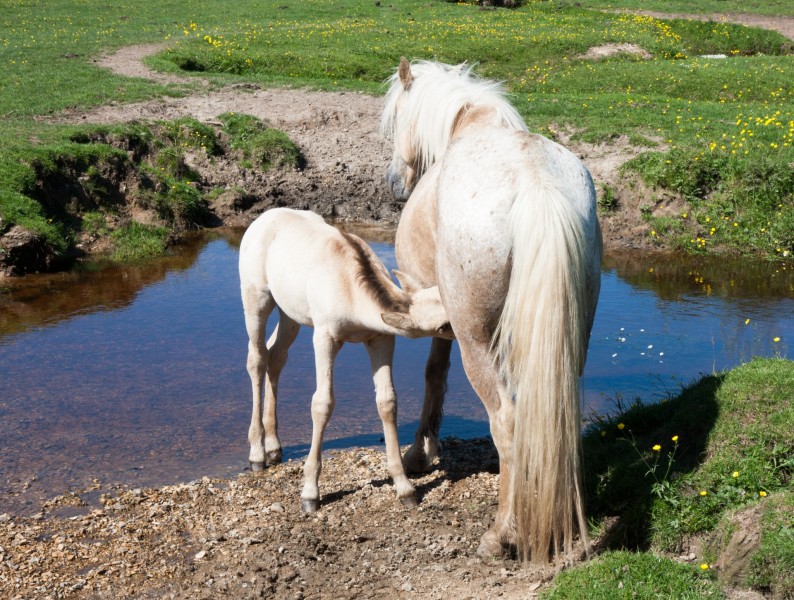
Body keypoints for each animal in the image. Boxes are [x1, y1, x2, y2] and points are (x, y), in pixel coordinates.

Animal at [237, 207, 452, 510]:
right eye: (443, 326)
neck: (351, 288)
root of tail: (263, 217)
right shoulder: (325, 337)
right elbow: (322, 403)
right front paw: (310, 493)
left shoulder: (380, 339)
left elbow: (387, 402)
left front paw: (405, 488)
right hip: (256, 297)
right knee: (256, 358)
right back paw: (257, 451)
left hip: (290, 312)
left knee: (275, 355)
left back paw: (274, 446)